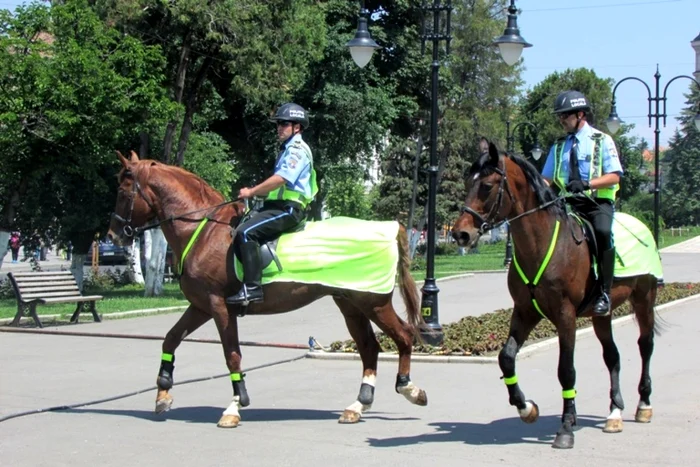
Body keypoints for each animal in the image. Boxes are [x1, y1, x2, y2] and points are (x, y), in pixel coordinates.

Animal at [107, 152, 430, 430]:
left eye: (122, 192)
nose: (114, 234)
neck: (205, 231)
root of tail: (389, 228)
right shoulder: (200, 306)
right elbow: (171, 339)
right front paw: (162, 392)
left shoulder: (219, 307)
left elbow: (232, 355)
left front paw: (235, 406)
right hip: (350, 304)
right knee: (369, 348)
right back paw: (358, 405)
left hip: (373, 303)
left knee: (403, 336)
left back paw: (409, 388)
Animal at [452, 143, 660, 450]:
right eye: (468, 183)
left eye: (487, 186)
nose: (461, 234)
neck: (541, 245)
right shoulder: (525, 311)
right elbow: (506, 357)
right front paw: (525, 407)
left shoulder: (566, 315)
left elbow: (566, 370)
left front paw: (566, 427)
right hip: (602, 314)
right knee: (612, 355)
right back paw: (614, 412)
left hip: (645, 299)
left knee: (645, 346)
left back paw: (644, 404)